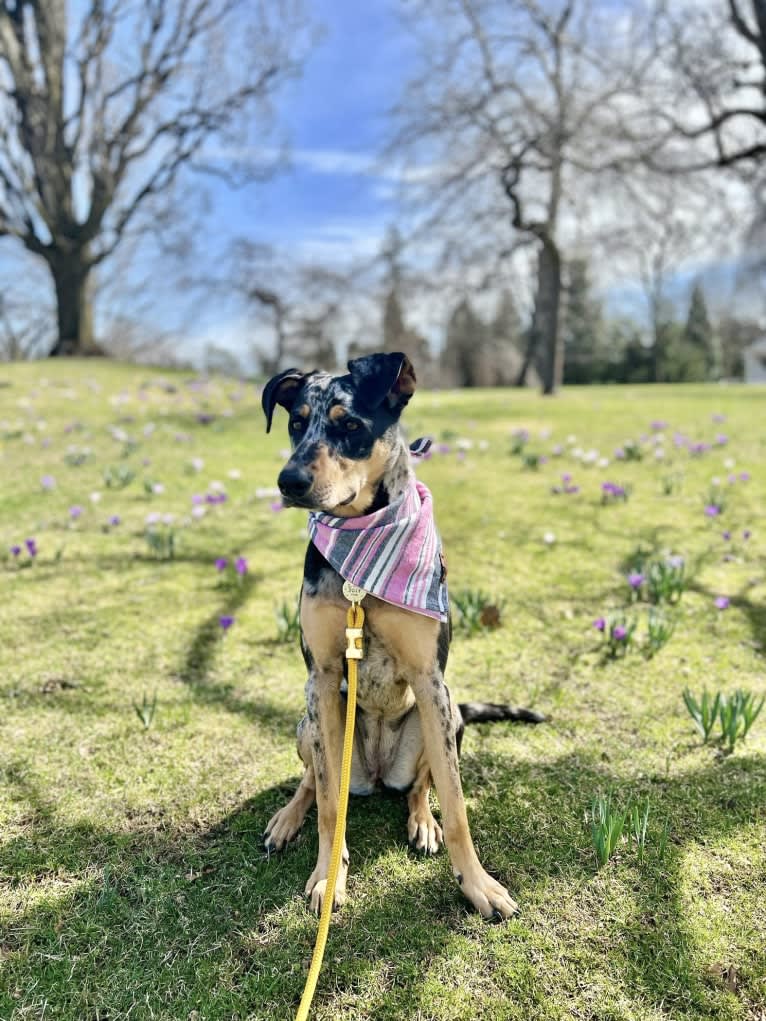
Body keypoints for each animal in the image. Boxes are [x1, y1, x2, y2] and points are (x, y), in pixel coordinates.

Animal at [263, 351, 547, 918]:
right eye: (296, 423)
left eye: (350, 425)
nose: (289, 481)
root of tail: (374, 776)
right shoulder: (321, 678)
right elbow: (328, 805)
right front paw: (328, 876)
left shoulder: (429, 679)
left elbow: (457, 805)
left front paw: (477, 884)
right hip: (309, 722)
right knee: (314, 781)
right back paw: (287, 817)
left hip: (449, 717)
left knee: (420, 785)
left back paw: (422, 821)